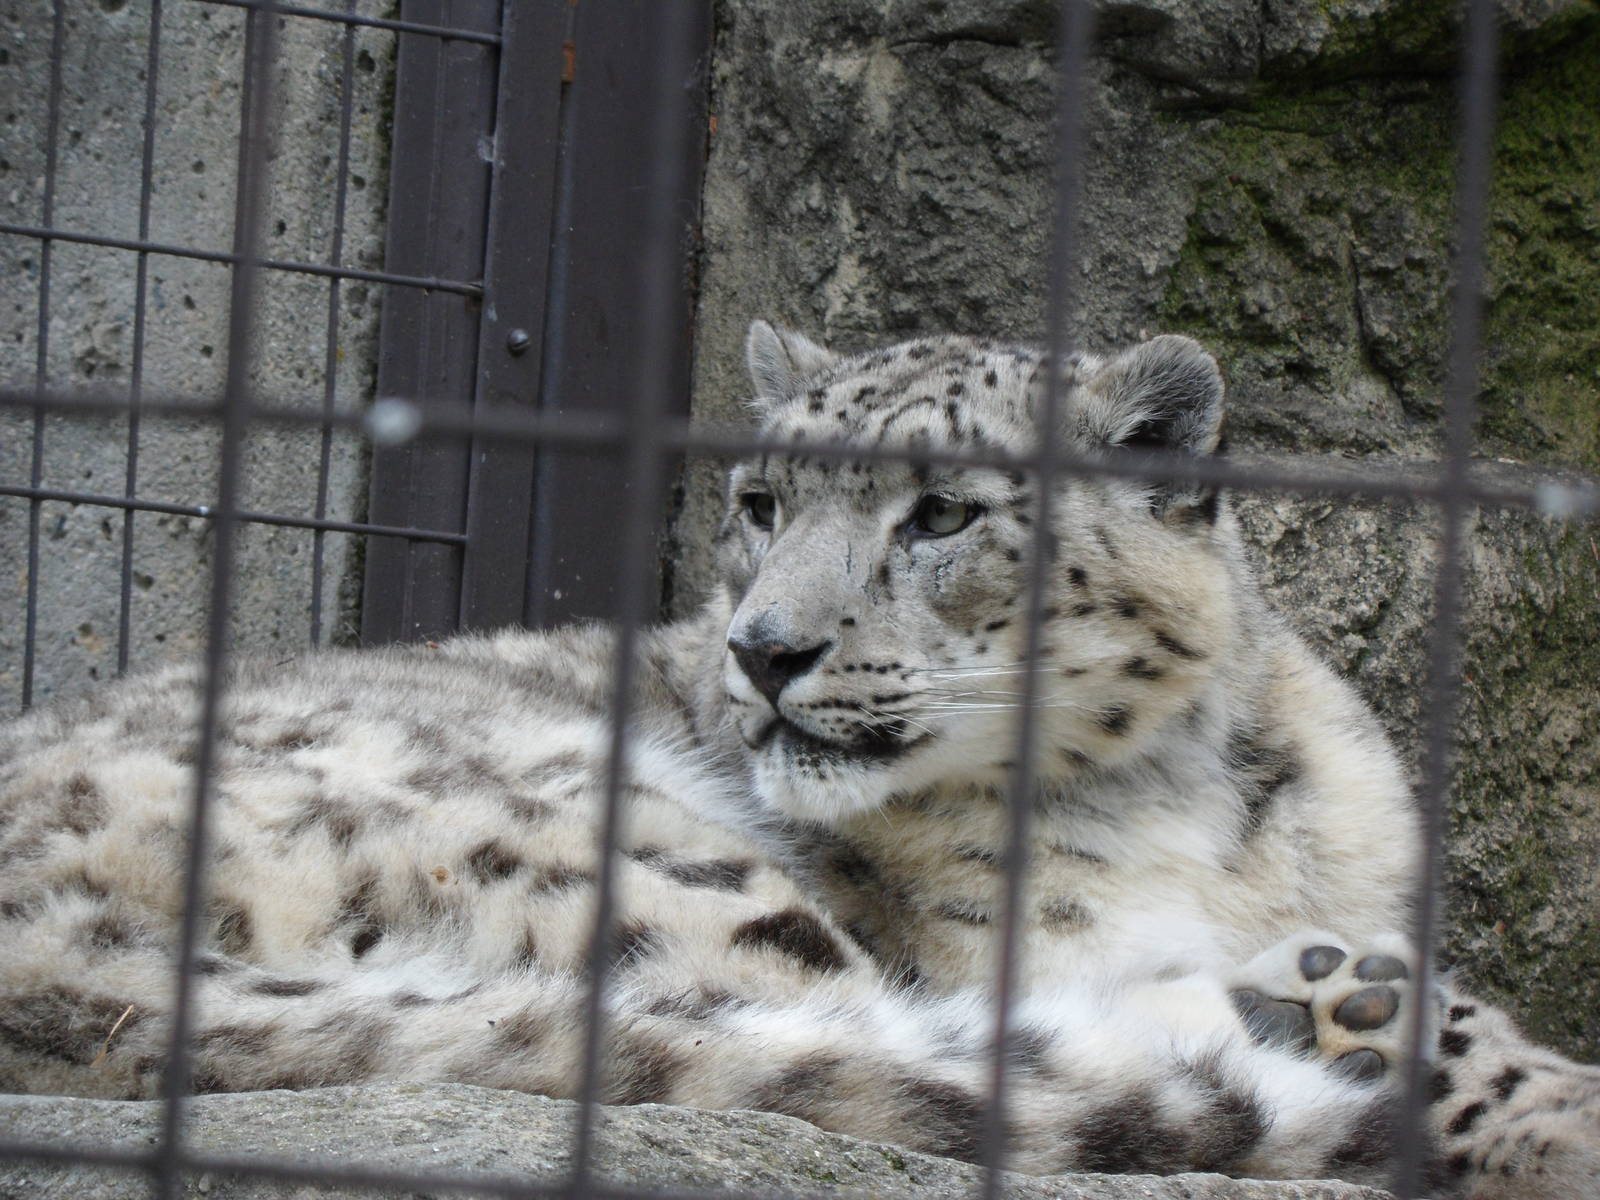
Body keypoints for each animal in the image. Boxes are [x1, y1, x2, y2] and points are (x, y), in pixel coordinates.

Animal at [1, 321, 1596, 1198]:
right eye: (762, 501)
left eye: (943, 512)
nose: (764, 649)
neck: (1187, 807)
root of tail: (60, 986)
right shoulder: (1001, 933)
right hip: (606, 831)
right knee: (836, 1028)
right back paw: (1317, 1011)